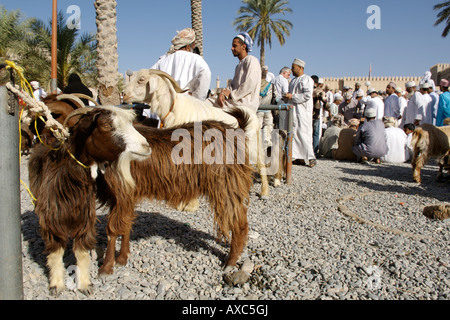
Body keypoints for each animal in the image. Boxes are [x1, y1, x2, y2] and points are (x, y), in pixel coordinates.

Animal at [28, 105, 151, 296]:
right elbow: (55, 251)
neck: (69, 180)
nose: (146, 146)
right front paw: (56, 285)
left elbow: (82, 250)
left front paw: (85, 284)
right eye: (106, 125)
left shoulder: (85, 217)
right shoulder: (51, 217)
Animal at [95, 109, 255, 276]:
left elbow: (112, 230)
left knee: (239, 223)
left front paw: (106, 267)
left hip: (226, 186)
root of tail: (237, 132)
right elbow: (126, 224)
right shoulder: (125, 197)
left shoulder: (122, 193)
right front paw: (122, 259)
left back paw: (230, 262)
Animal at [121, 70, 268, 200]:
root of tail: (253, 115)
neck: (174, 107)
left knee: (261, 165)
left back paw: (264, 193)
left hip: (253, 146)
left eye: (141, 79)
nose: (123, 94)